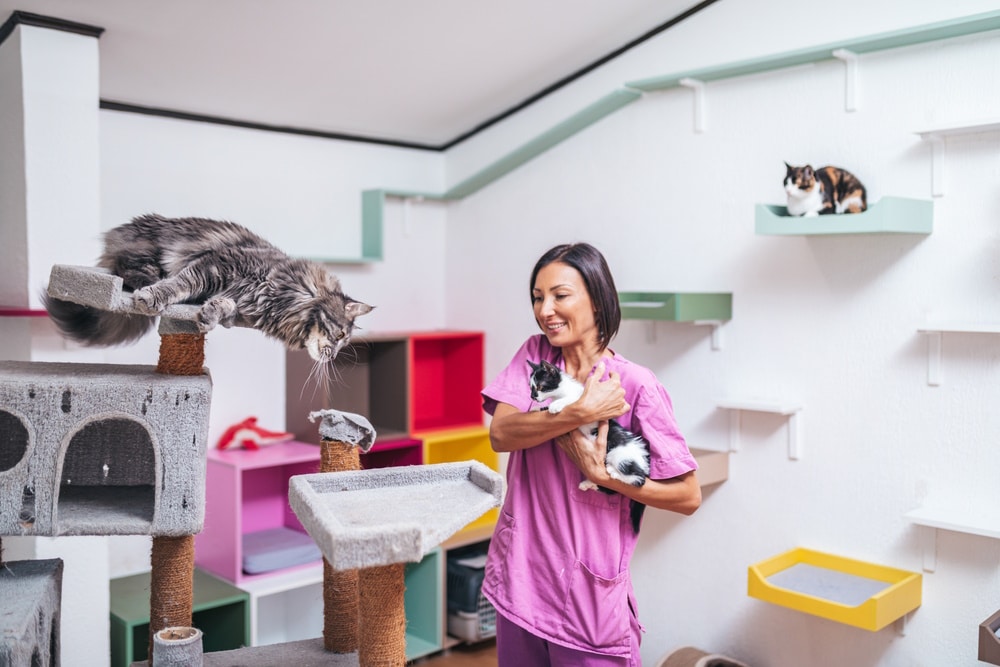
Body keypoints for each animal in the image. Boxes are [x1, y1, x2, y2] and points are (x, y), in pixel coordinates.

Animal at [41, 214, 374, 362]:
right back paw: (147, 286)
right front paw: (156, 297)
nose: (333, 356)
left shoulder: (240, 299)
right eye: (340, 336)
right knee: (126, 269)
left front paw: (209, 316)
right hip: (147, 252)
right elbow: (181, 284)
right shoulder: (218, 265)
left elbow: (225, 305)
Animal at [528, 358, 652, 536]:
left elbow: (572, 402)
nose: (533, 397)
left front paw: (555, 405)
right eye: (531, 387)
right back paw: (587, 484)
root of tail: (645, 461)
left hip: (618, 455)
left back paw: (613, 472)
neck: (561, 390)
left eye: (539, 387)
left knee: (638, 479)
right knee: (611, 489)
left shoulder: (582, 400)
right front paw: (537, 408)